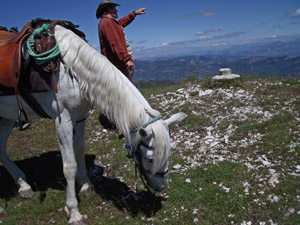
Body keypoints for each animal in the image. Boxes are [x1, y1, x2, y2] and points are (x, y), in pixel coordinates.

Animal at [0, 24, 186, 223]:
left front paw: (86, 185)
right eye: (150, 158)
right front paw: (73, 211)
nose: (162, 187)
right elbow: (69, 165)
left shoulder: (80, 118)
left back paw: (23, 185)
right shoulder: (62, 121)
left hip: (6, 118)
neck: (72, 71)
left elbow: (79, 150)